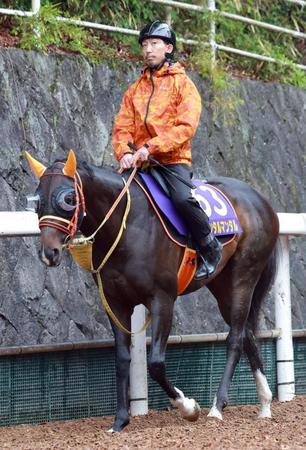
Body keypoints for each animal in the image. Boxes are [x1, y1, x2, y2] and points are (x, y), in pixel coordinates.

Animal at [25, 150, 280, 432]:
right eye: (37, 199)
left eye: (68, 198)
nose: (49, 253)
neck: (127, 225)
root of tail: (261, 201)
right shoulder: (115, 303)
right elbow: (122, 358)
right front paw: (120, 421)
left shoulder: (162, 300)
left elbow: (156, 363)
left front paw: (188, 407)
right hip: (222, 287)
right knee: (246, 333)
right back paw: (265, 404)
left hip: (243, 277)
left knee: (235, 338)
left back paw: (217, 407)